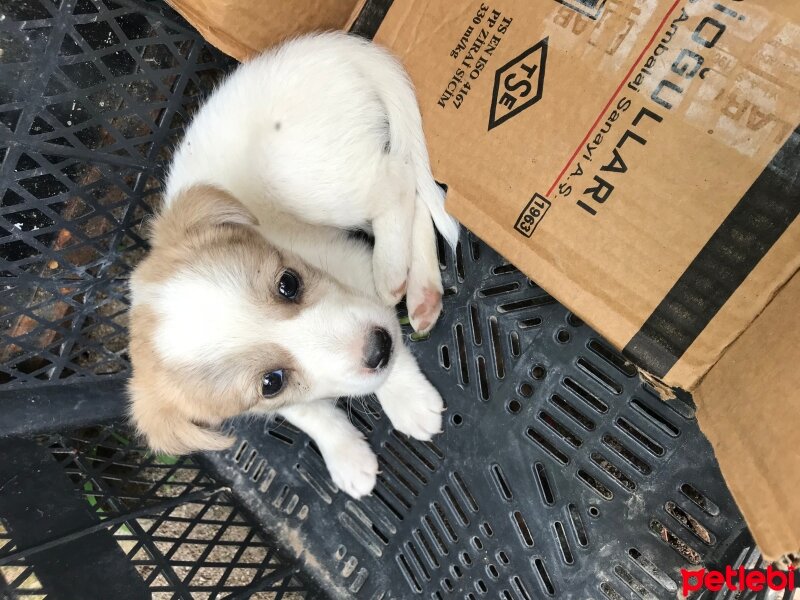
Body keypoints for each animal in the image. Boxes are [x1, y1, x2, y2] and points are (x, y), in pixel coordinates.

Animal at [129, 34, 460, 502]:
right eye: (272, 382)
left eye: (288, 284)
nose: (377, 349)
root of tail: (330, 46)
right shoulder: (274, 403)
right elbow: (308, 413)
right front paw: (345, 455)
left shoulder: (353, 266)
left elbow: (388, 353)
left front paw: (407, 399)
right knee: (409, 188)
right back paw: (422, 296)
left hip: (318, 184)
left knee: (398, 181)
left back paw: (394, 271)